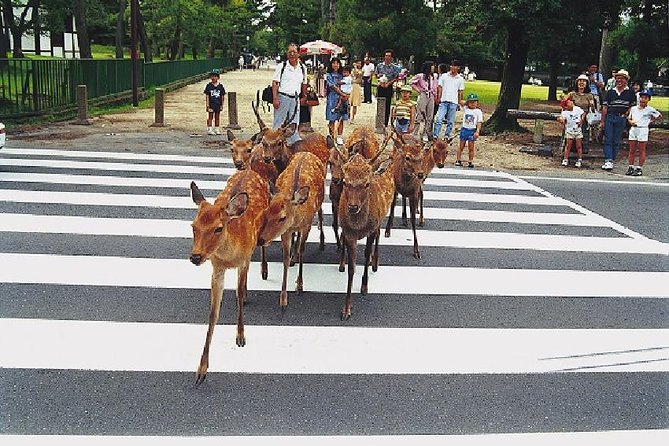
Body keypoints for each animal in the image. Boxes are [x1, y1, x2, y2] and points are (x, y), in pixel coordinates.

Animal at [188, 169, 268, 386]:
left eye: (218, 228)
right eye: (193, 226)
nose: (195, 257)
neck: (229, 257)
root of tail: (249, 168)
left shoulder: (244, 260)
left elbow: (238, 293)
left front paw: (240, 336)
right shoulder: (217, 268)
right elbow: (213, 313)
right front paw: (201, 370)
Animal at [258, 152, 324, 308]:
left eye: (283, 217)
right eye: (266, 212)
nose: (260, 239)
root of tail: (306, 152)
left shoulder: (307, 225)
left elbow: (302, 251)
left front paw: (299, 286)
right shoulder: (286, 231)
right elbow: (285, 259)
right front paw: (283, 298)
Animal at [336, 153, 394, 320]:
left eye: (367, 183)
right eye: (345, 181)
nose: (352, 206)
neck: (359, 227)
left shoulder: (372, 228)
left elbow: (367, 252)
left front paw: (364, 286)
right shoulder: (349, 233)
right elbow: (351, 268)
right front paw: (346, 309)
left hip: (381, 218)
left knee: (379, 234)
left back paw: (374, 262)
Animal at [384, 131, 430, 260]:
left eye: (421, 158)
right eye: (407, 157)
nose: (421, 174)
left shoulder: (414, 193)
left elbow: (413, 219)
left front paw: (417, 250)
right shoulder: (394, 186)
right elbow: (392, 206)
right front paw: (387, 230)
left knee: (414, 196)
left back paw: (410, 219)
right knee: (402, 198)